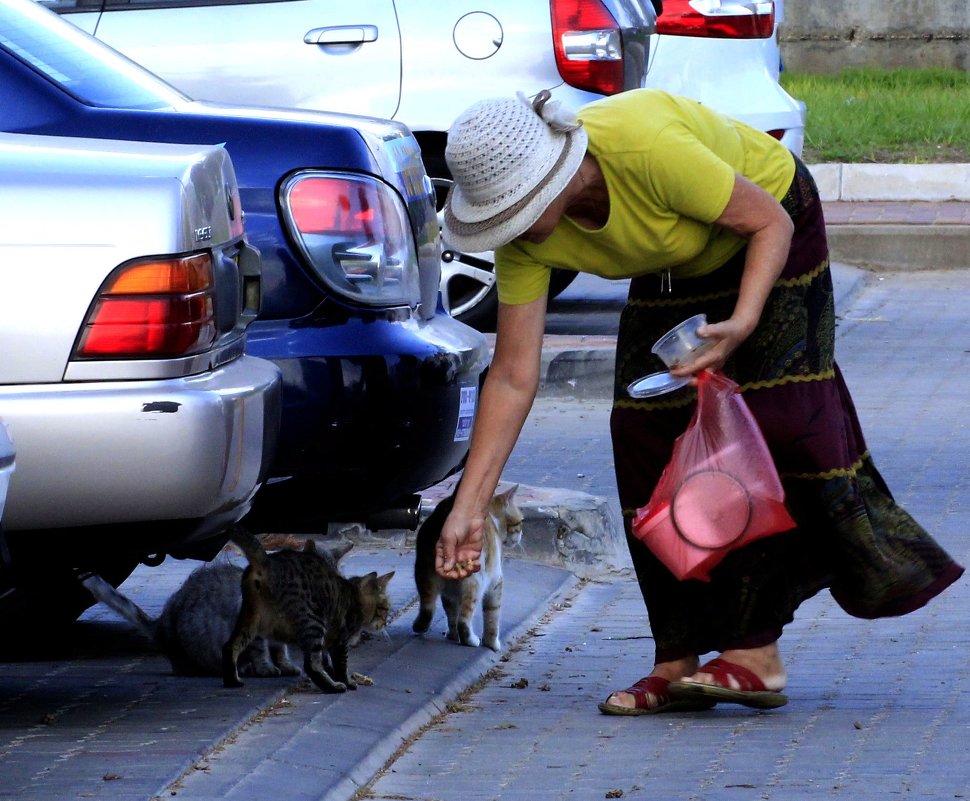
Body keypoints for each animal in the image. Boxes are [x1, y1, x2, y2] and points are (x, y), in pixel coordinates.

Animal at [80, 532, 352, 676]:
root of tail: (161, 623)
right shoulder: (254, 629)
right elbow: (262, 650)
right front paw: (267, 668)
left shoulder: (279, 635)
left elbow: (279, 650)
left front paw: (286, 666)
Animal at [223, 528, 394, 692]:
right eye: (383, 609)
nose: (385, 622)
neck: (352, 598)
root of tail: (268, 562)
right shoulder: (340, 640)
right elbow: (340, 665)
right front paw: (346, 681)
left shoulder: (330, 641)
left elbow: (327, 662)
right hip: (313, 622)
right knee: (310, 665)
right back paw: (332, 687)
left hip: (252, 619)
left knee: (231, 645)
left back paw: (232, 680)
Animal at [412, 482, 524, 648]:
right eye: (520, 522)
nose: (521, 535)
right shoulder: (495, 582)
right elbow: (492, 616)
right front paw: (492, 644)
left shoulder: (450, 592)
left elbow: (451, 614)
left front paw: (452, 636)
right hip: (475, 584)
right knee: (463, 621)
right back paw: (471, 640)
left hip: (425, 575)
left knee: (429, 609)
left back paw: (423, 627)